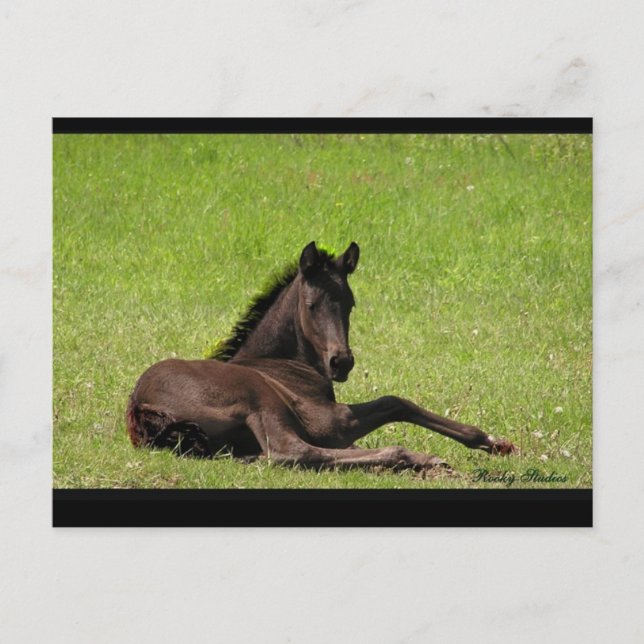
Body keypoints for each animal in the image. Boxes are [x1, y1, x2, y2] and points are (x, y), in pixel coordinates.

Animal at [126, 241, 517, 473]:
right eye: (311, 304)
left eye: (350, 303)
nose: (341, 362)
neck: (282, 364)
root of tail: (140, 409)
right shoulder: (331, 421)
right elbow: (395, 402)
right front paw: (488, 442)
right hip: (260, 400)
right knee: (290, 451)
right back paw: (414, 457)